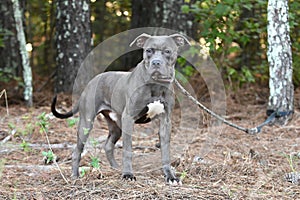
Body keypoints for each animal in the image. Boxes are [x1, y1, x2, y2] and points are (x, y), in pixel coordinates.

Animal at [50, 33, 189, 184]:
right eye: (149, 50)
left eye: (167, 51)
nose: (156, 63)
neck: (155, 84)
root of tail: (90, 83)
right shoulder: (129, 118)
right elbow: (127, 150)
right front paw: (128, 174)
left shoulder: (166, 121)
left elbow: (166, 152)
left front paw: (170, 176)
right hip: (86, 123)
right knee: (77, 150)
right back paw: (75, 176)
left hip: (116, 125)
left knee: (108, 146)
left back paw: (115, 168)